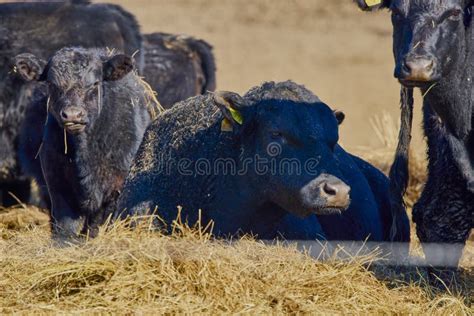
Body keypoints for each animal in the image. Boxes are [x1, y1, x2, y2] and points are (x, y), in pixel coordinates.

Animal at [13, 47, 156, 239]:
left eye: (94, 84)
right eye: (51, 84)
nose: (73, 115)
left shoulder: (115, 188)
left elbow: (97, 225)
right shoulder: (57, 184)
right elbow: (65, 227)